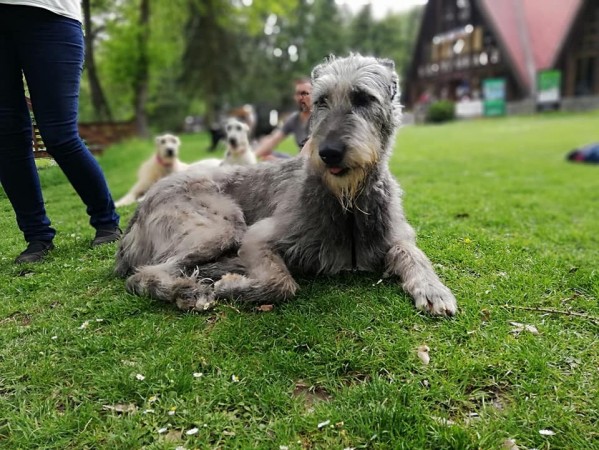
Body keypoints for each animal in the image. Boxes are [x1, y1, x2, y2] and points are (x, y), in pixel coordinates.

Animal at [115, 54, 458, 316]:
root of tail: (141, 208)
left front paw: (433, 288)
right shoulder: (257, 237)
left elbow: (412, 251)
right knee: (144, 275)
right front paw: (232, 285)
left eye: (363, 98)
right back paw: (188, 290)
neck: (347, 202)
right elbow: (281, 283)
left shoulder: (393, 233)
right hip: (220, 226)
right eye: (321, 101)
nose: (328, 152)